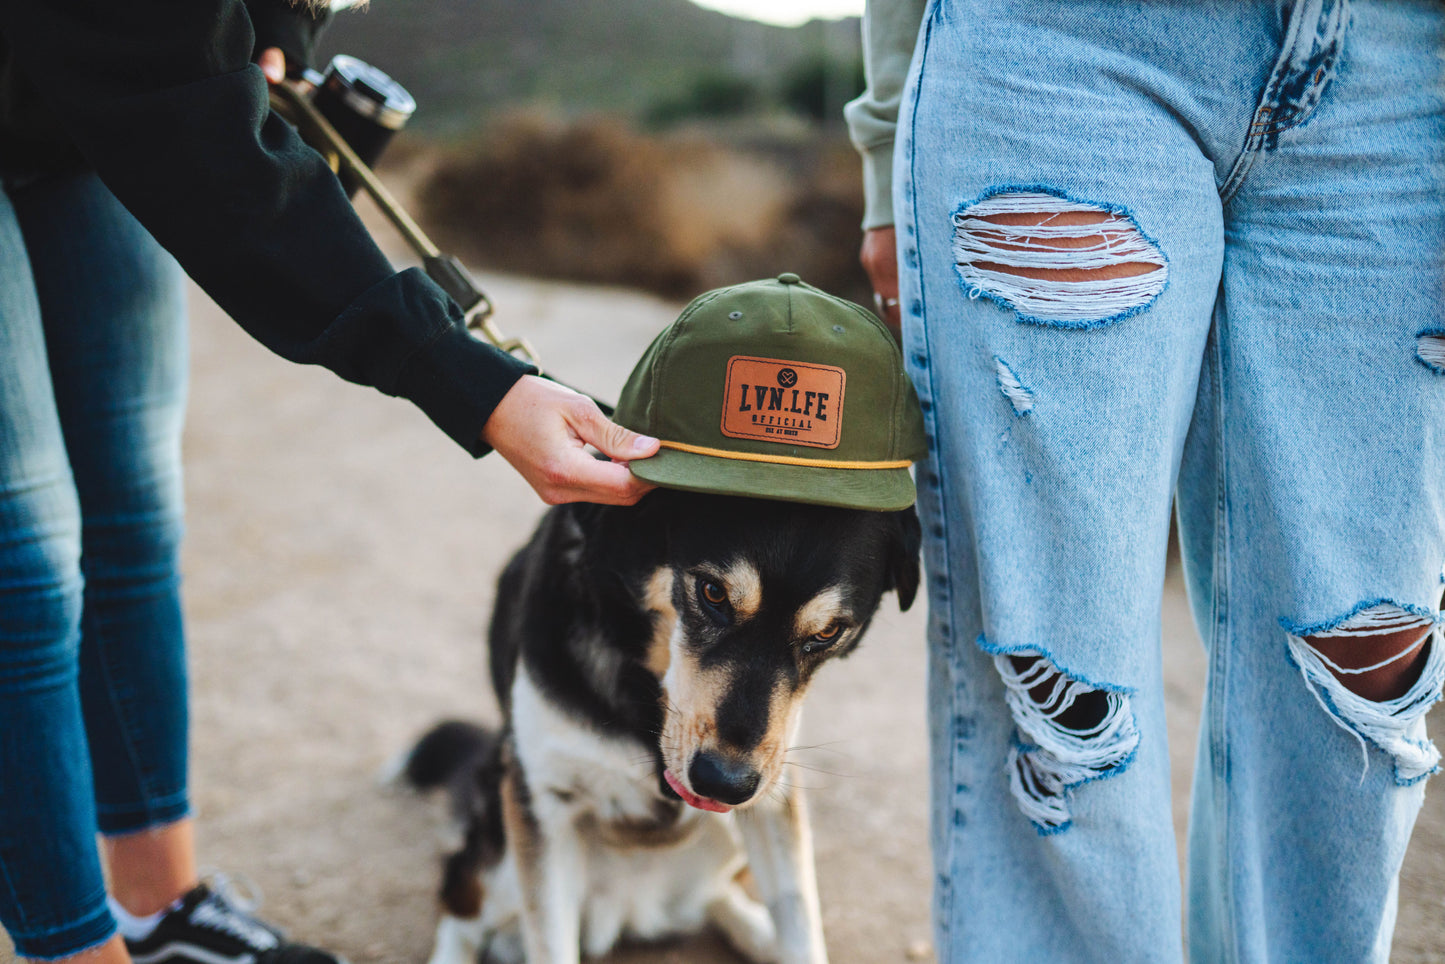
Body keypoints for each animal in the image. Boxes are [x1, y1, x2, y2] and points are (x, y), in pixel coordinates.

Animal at [398, 485, 913, 964]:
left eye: (827, 633)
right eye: (713, 593)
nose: (725, 783)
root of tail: (627, 913)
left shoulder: (773, 792)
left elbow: (800, 920)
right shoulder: (542, 804)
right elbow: (547, 943)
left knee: (721, 897)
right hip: (500, 858)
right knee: (459, 911)